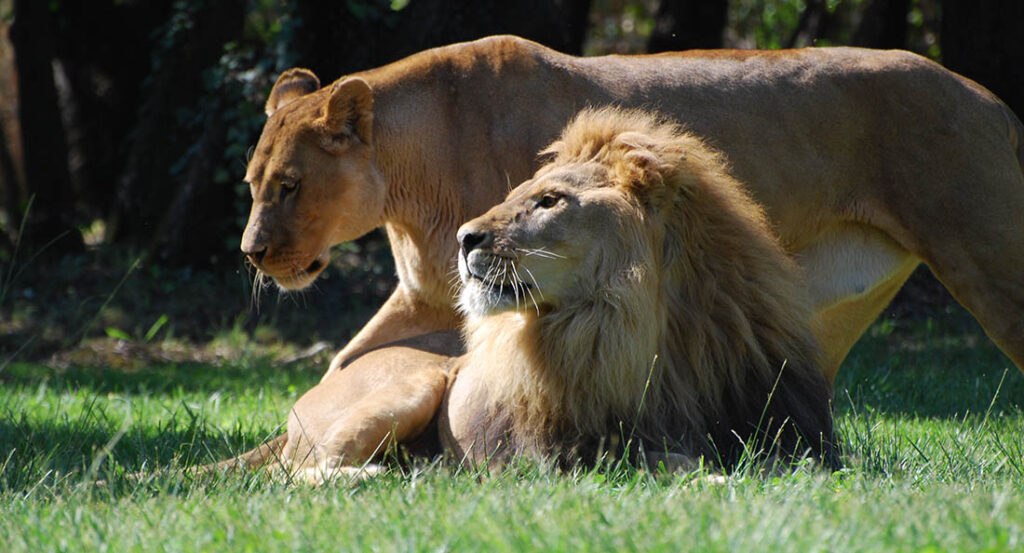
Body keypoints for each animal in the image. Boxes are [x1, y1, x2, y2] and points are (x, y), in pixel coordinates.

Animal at [241, 34, 1024, 385]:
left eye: (290, 186)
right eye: (251, 183)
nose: (251, 252)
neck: (404, 188)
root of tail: (991, 97)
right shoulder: (424, 295)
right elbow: (342, 364)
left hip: (990, 259)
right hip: (840, 301)